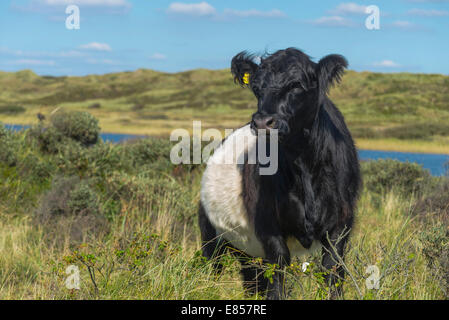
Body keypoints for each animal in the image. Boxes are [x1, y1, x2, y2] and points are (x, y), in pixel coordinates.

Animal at [199, 48, 360, 300]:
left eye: (296, 85)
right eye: (256, 87)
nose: (262, 122)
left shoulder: (341, 224)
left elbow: (333, 270)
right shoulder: (268, 225)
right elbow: (277, 271)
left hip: (246, 249)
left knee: (251, 277)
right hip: (211, 234)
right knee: (213, 267)